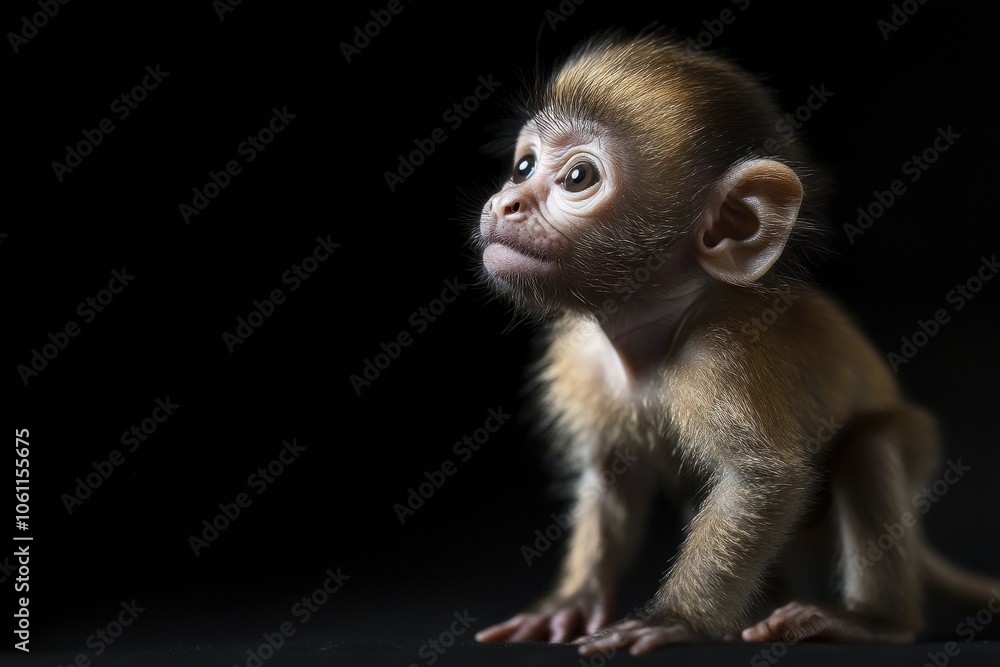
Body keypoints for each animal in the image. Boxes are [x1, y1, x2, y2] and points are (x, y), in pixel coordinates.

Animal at [470, 31, 999, 655]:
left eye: (579, 178)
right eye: (523, 166)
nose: (507, 201)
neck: (652, 332)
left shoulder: (721, 358)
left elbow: (761, 483)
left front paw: (674, 620)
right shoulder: (581, 360)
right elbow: (611, 479)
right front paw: (571, 603)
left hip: (916, 445)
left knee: (870, 447)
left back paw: (873, 621)